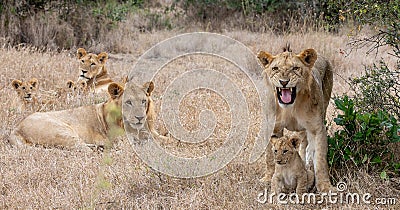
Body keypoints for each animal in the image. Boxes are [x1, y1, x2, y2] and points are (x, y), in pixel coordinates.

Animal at [258, 45, 332, 193]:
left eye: (295, 68)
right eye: (275, 68)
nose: (284, 82)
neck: (290, 108)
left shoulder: (316, 128)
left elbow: (320, 158)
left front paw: (325, 186)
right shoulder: (272, 126)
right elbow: (270, 156)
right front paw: (268, 178)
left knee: (305, 147)